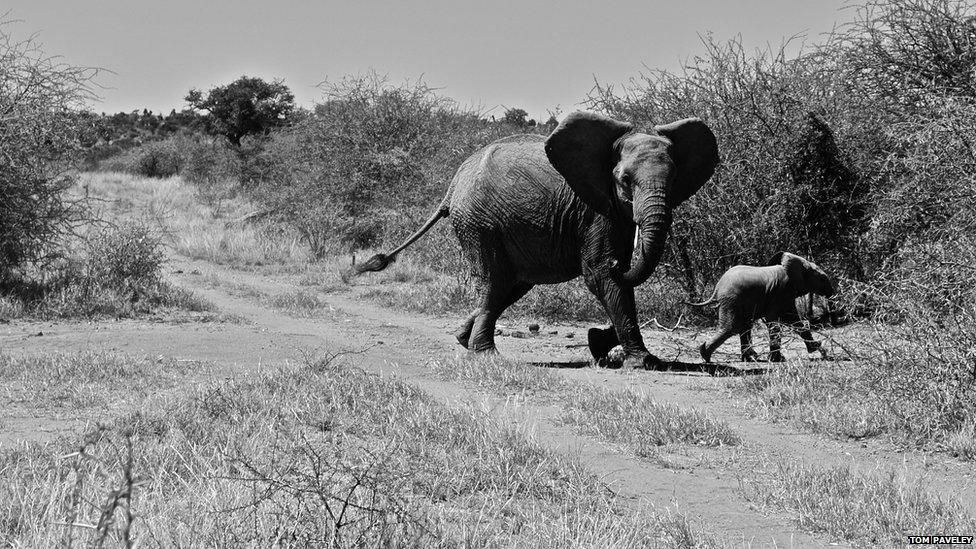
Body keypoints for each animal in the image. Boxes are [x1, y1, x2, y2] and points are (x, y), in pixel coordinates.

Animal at [354, 111, 719, 369]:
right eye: (625, 180)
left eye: (675, 178)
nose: (623, 259)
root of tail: (454, 183)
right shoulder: (594, 208)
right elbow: (599, 274)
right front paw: (643, 362)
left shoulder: (612, 211)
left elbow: (610, 279)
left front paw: (599, 344)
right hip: (479, 223)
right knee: (493, 281)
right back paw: (485, 355)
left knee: (510, 285)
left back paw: (462, 339)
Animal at [687, 251, 835, 365]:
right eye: (822, 278)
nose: (824, 352)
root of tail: (717, 287)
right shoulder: (781, 291)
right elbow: (773, 321)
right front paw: (777, 360)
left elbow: (794, 320)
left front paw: (816, 347)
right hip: (731, 300)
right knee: (731, 327)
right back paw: (706, 355)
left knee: (745, 326)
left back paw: (749, 358)